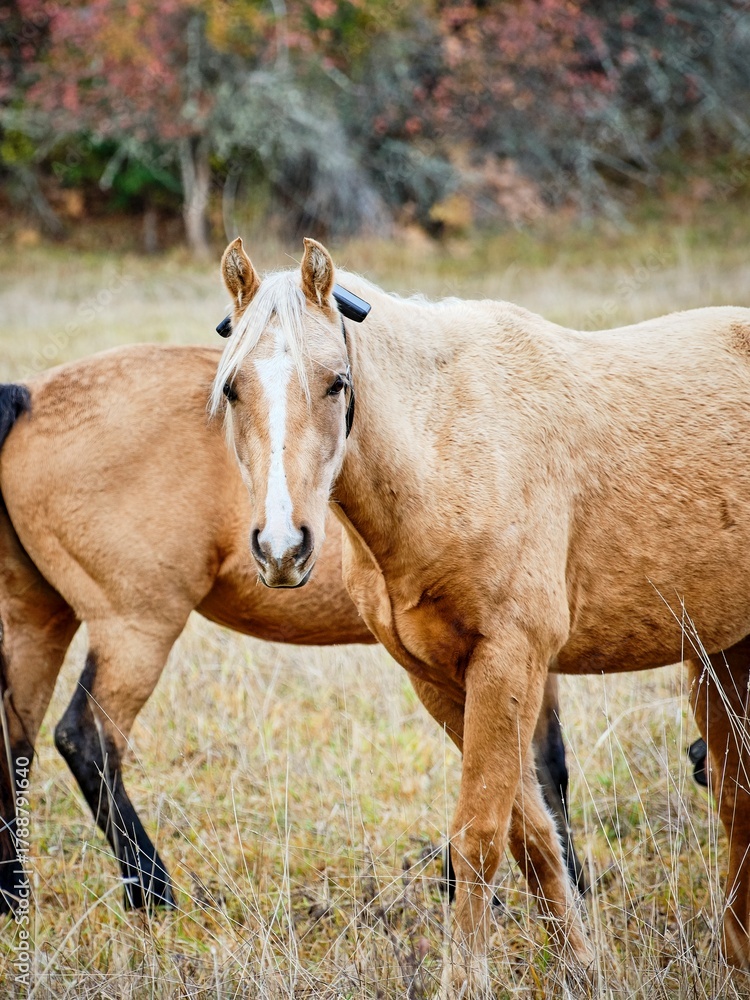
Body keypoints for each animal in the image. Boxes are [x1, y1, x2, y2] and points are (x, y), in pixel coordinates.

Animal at [0, 343, 583, 914]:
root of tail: (29, 397)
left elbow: (541, 762)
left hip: (39, 622)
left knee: (15, 739)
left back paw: (13, 893)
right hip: (136, 629)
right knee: (86, 739)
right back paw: (152, 890)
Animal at [213, 234, 750, 986]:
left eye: (335, 383)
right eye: (234, 387)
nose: (282, 547)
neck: (447, 446)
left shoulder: (509, 662)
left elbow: (479, 838)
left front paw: (465, 978)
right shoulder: (441, 679)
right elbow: (531, 834)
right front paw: (581, 969)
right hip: (720, 651)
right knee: (736, 798)